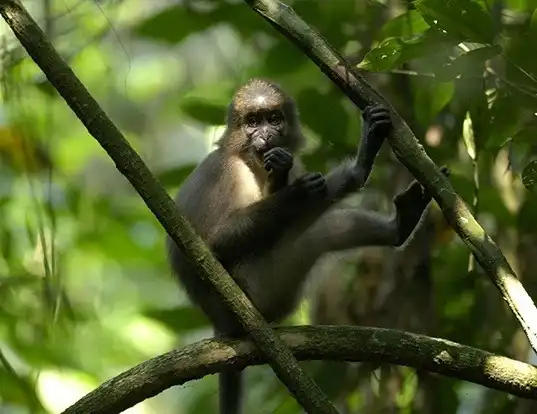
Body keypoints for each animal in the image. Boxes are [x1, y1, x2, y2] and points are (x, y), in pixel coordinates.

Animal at [166, 78, 448, 414]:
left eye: (274, 119)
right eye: (253, 122)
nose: (266, 135)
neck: (246, 159)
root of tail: (221, 323)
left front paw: (284, 175)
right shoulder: (227, 173)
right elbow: (214, 245)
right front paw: (295, 192)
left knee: (325, 226)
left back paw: (395, 216)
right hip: (262, 288)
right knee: (310, 227)